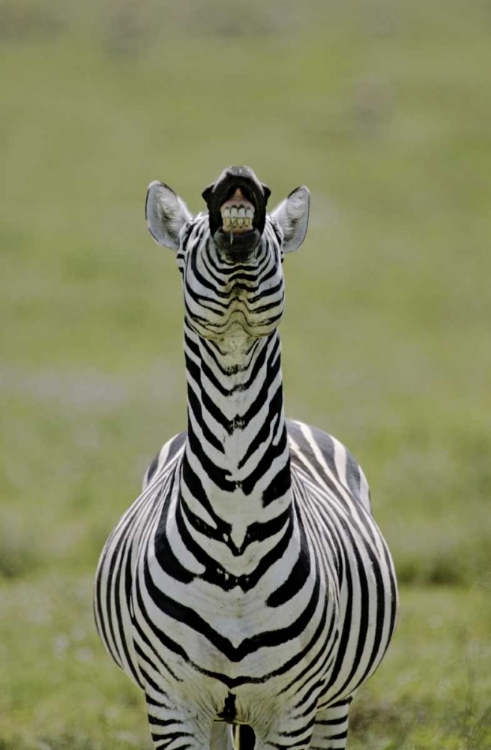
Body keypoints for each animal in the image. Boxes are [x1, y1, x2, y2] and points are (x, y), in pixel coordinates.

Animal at [94, 167, 398, 750]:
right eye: (183, 249)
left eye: (278, 245)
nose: (237, 176)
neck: (236, 540)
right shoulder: (171, 706)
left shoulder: (293, 711)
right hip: (218, 714)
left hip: (334, 703)